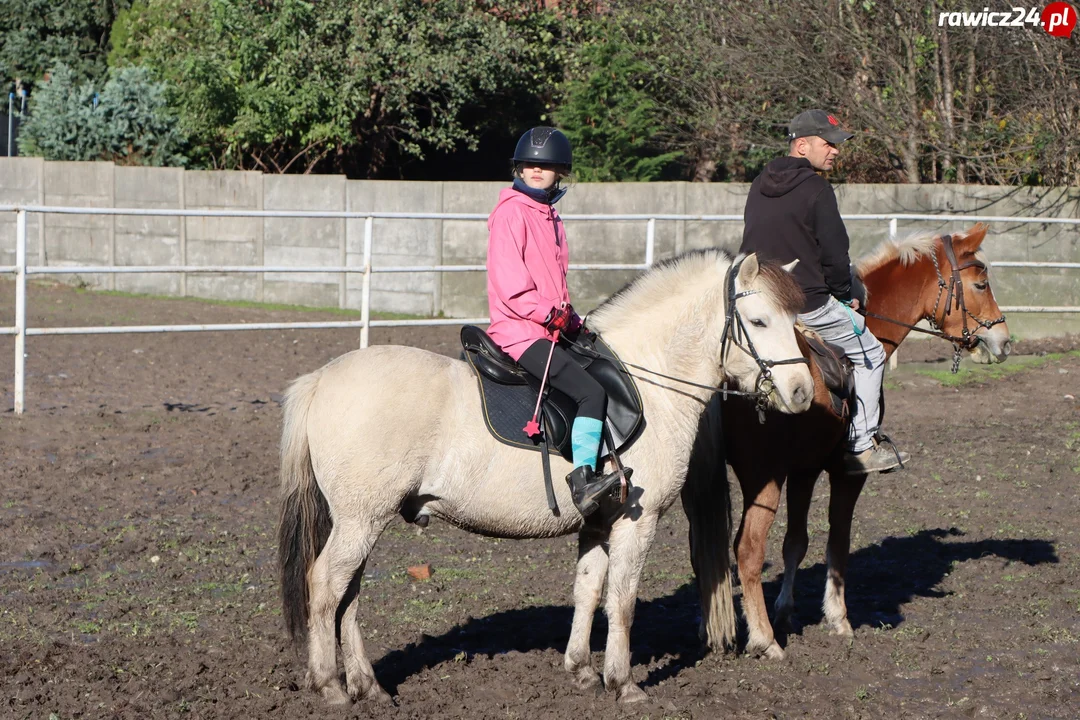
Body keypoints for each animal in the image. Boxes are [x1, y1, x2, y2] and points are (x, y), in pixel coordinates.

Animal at [682, 225, 1010, 660]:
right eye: (981, 284)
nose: (1003, 340)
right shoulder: (846, 473)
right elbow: (838, 541)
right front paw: (838, 619)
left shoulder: (804, 470)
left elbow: (796, 542)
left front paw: (786, 610)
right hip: (763, 479)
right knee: (748, 551)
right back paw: (765, 640)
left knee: (703, 555)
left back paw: (709, 627)